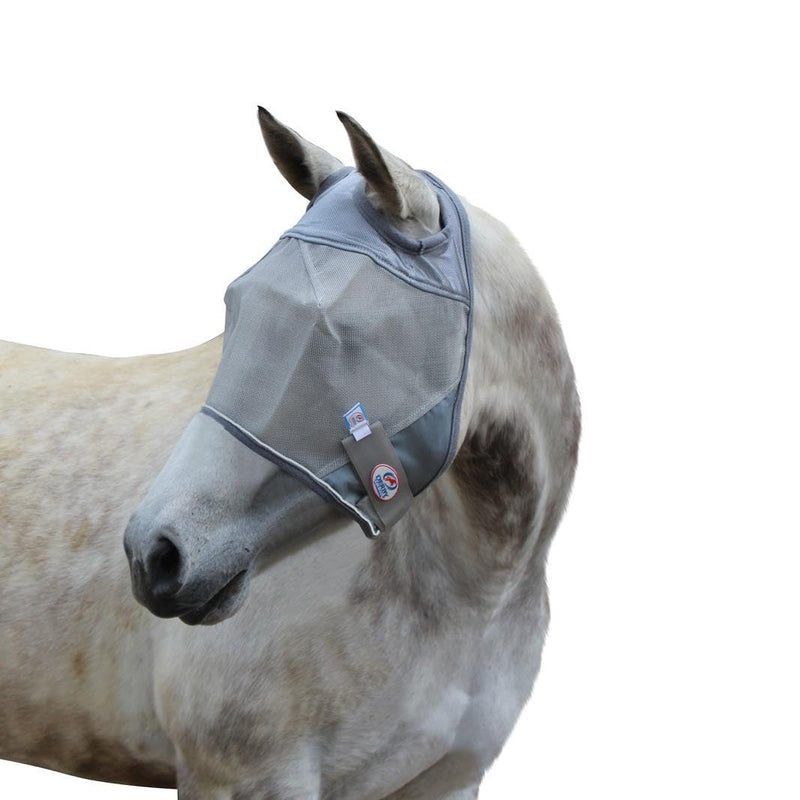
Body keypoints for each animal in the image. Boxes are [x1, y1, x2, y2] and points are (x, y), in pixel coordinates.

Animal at [0, 110, 580, 798]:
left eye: (337, 327)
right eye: (236, 301)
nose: (155, 555)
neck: (467, 597)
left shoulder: (452, 778)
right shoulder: (246, 776)